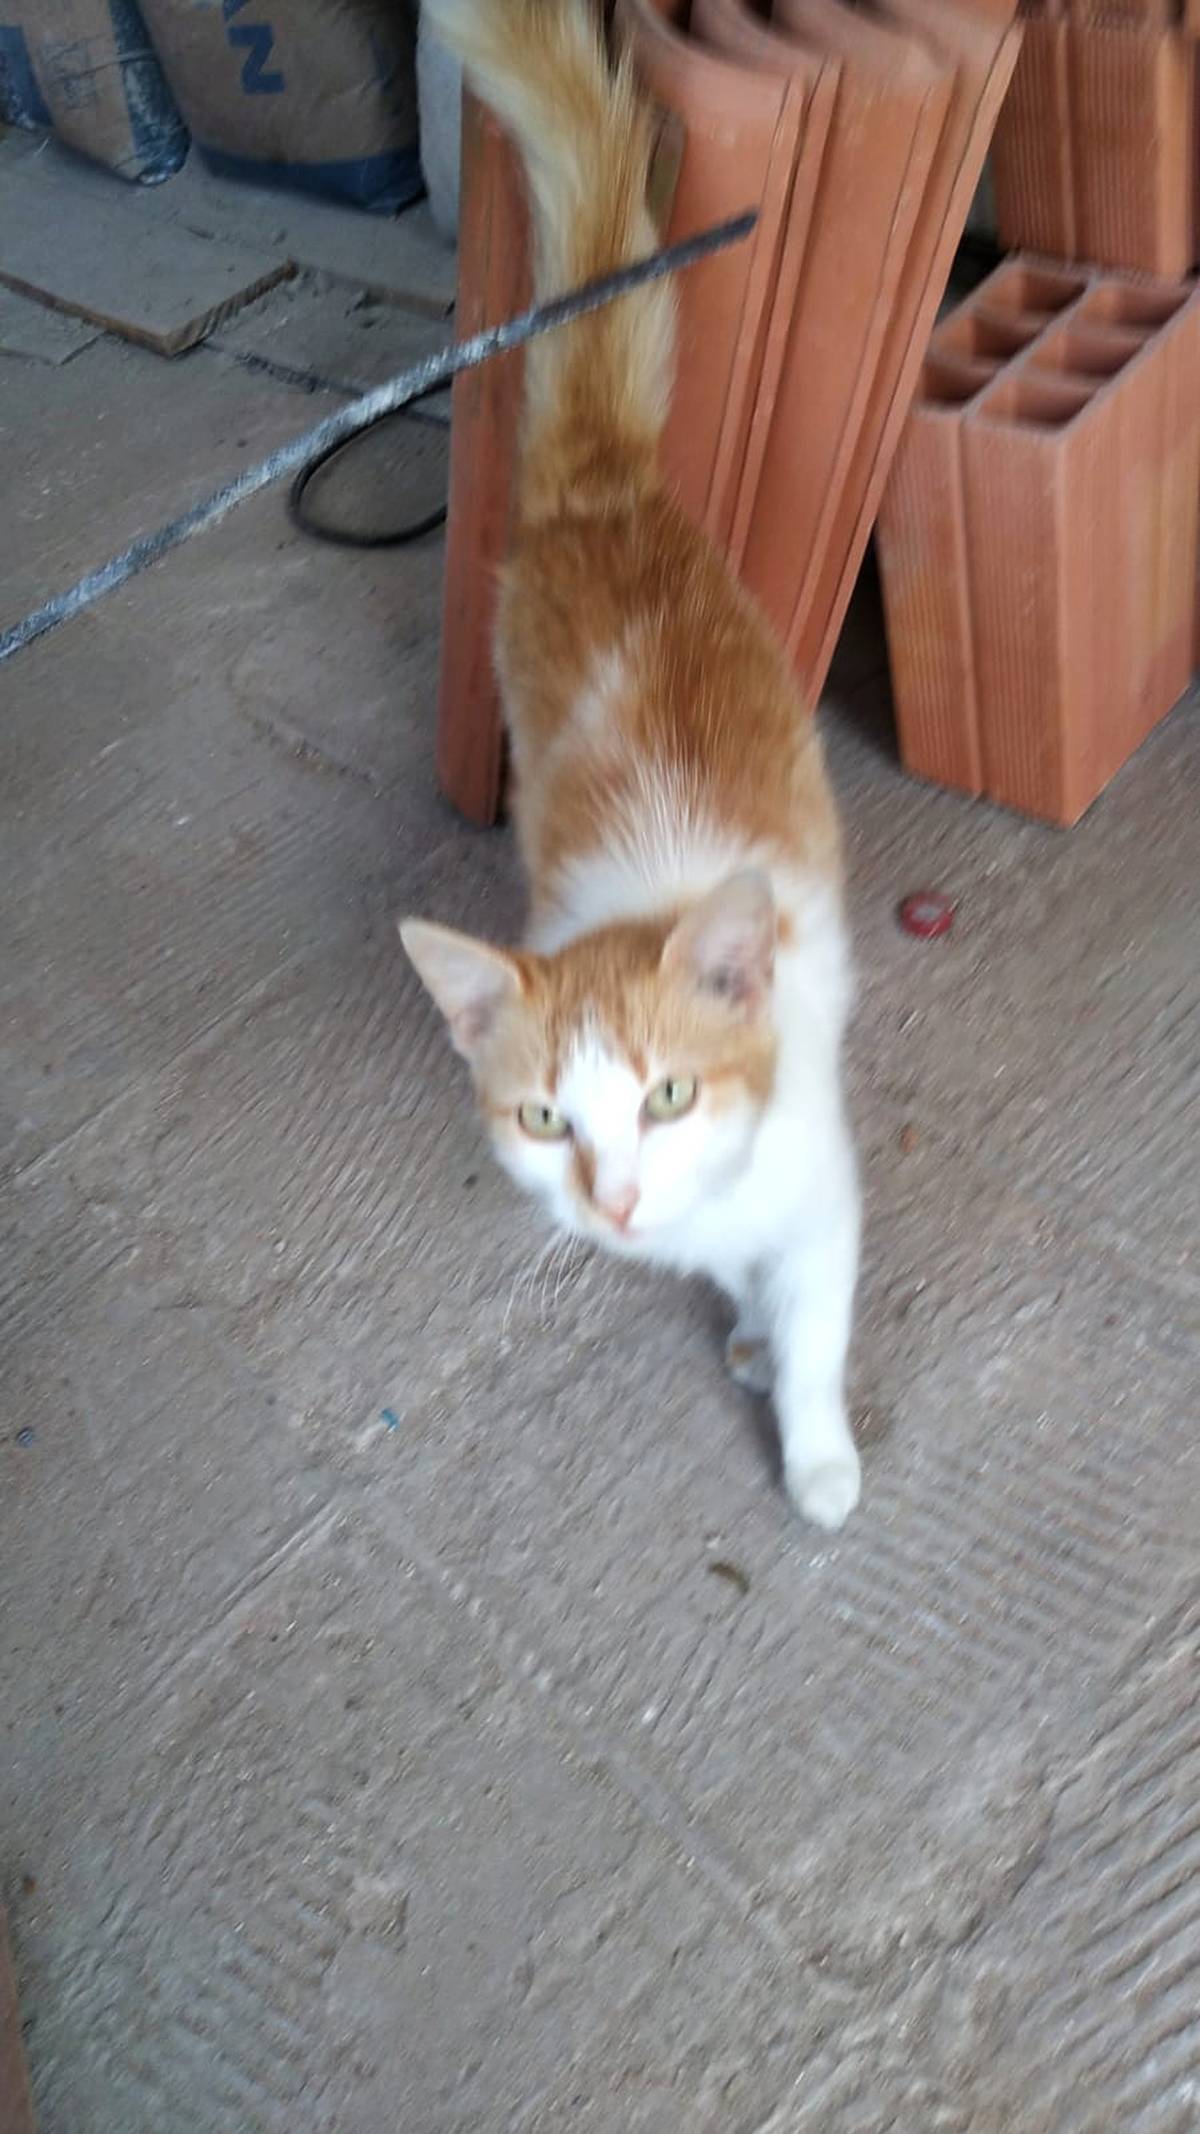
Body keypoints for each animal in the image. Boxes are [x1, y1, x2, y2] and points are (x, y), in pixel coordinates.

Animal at [401, 0, 861, 1528]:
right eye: (546, 1118)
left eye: (668, 1094)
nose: (609, 1206)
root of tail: (598, 494)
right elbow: (733, 1268)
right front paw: (743, 1317)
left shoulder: (820, 1184)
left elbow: (816, 1308)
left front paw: (812, 1436)